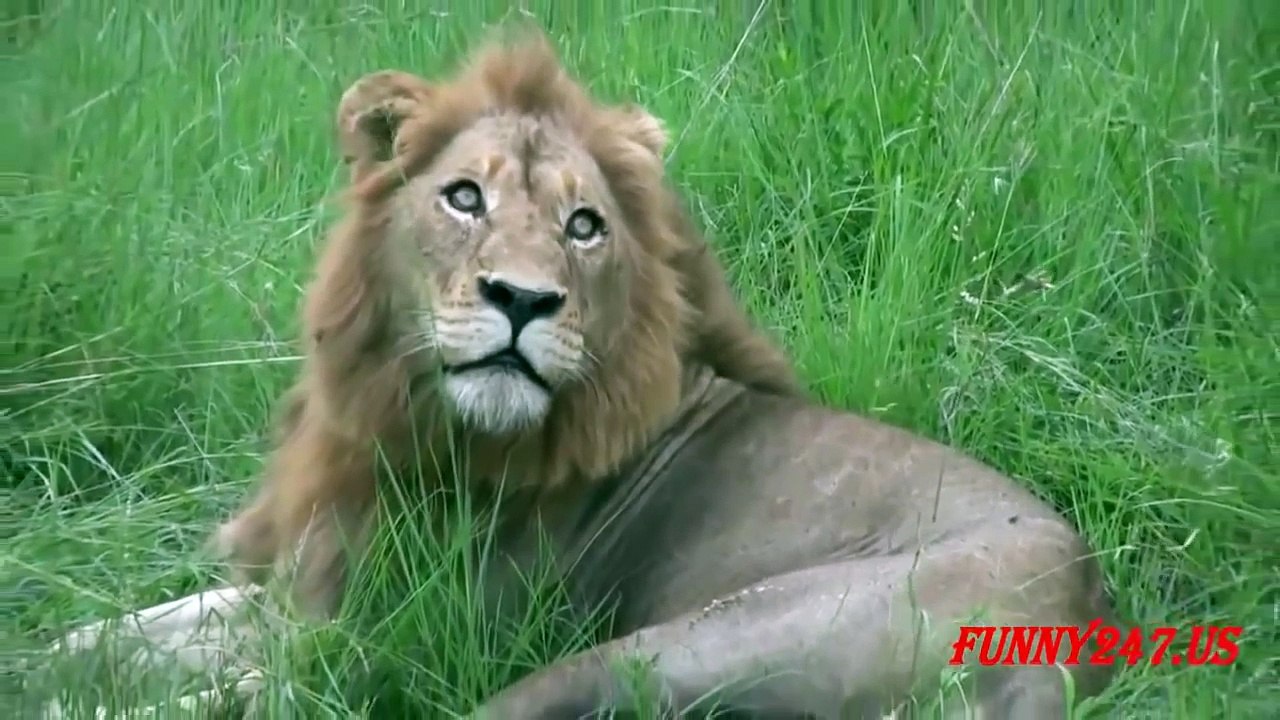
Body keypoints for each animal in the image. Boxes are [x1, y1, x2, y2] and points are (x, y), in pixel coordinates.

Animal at [213, 29, 1119, 719]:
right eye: (464, 198)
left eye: (584, 226)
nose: (522, 299)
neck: (401, 410)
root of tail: (1078, 621)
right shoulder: (300, 578)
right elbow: (185, 619)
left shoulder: (377, 626)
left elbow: (246, 671)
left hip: (680, 640)